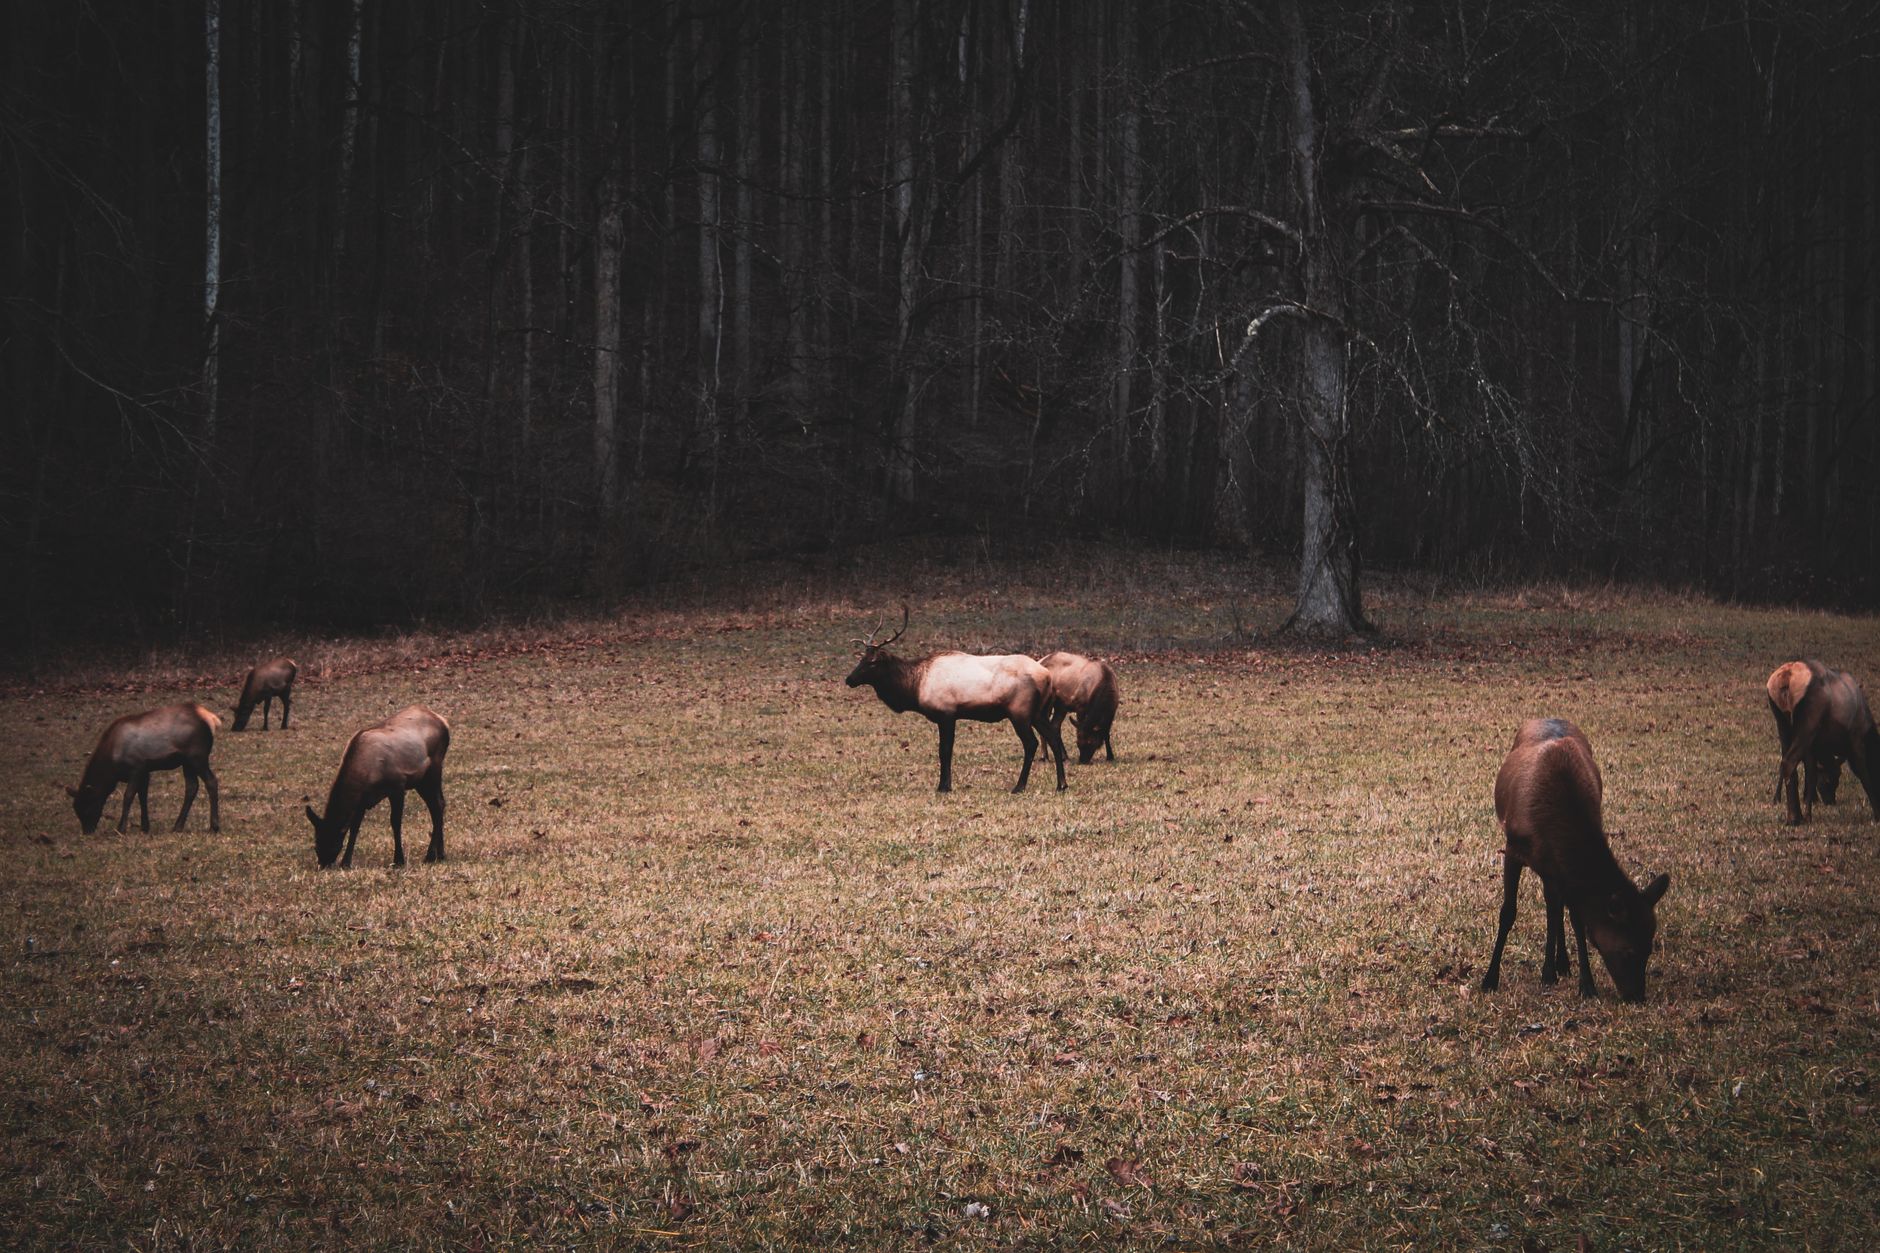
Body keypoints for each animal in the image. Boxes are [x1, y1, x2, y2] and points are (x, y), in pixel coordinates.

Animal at [67, 703, 222, 835]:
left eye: (87, 806)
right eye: (76, 809)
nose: (87, 832)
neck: (111, 769)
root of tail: (211, 719)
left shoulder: (136, 768)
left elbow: (128, 796)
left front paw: (121, 828)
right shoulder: (145, 772)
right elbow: (143, 796)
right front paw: (144, 827)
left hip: (197, 757)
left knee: (211, 781)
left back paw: (214, 827)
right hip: (187, 763)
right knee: (192, 787)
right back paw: (178, 826)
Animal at [305, 705, 451, 869]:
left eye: (332, 844)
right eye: (316, 845)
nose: (322, 865)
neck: (365, 774)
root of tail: (444, 722)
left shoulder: (397, 786)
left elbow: (395, 822)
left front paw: (398, 859)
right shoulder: (362, 799)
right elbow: (355, 827)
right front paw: (346, 862)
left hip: (433, 770)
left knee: (437, 805)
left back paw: (430, 855)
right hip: (421, 781)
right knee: (438, 805)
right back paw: (440, 854)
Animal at [845, 605, 1068, 793]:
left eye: (872, 662)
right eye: (861, 659)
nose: (849, 679)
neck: (915, 687)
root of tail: (1047, 677)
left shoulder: (946, 713)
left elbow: (944, 750)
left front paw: (943, 786)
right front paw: (946, 784)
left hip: (1019, 712)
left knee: (1031, 744)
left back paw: (1019, 786)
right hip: (1039, 712)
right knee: (1054, 738)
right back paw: (1061, 785)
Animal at [1481, 718, 1670, 1002]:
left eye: (1649, 947)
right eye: (1628, 951)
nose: (1637, 996)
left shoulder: (1562, 870)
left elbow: (1576, 918)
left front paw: (1585, 984)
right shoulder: (1513, 849)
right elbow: (1508, 912)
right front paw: (1490, 978)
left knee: (1556, 907)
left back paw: (1560, 964)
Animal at [1767, 660, 1880, 825]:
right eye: (1831, 779)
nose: (1830, 801)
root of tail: (1787, 677)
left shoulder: (1813, 746)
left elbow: (1811, 774)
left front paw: (1809, 810)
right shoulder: (1856, 738)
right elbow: (1863, 773)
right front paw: (1877, 814)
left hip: (1783, 722)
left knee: (1786, 762)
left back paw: (1793, 814)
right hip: (1807, 724)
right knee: (1789, 761)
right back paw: (1795, 817)